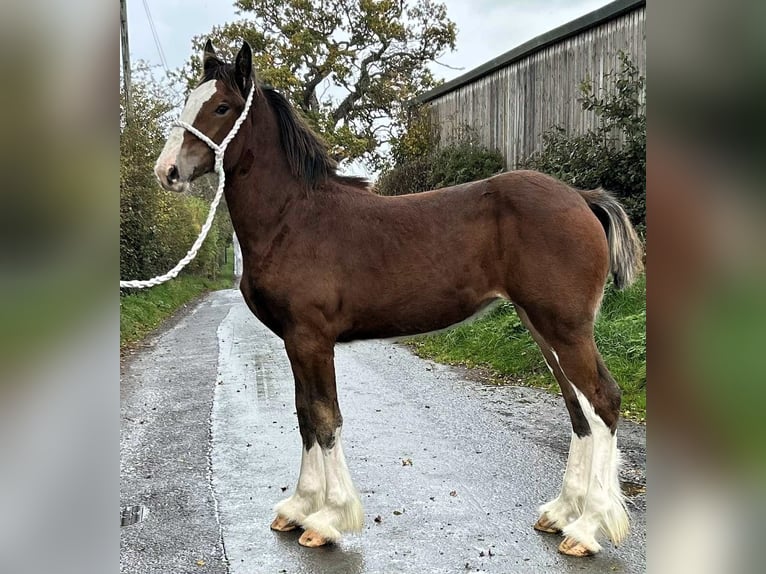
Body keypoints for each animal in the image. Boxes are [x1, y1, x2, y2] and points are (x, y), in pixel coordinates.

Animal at [154, 40, 644, 557]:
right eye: (190, 100)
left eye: (221, 107)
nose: (167, 171)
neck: (293, 218)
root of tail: (581, 197)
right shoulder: (294, 341)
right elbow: (305, 415)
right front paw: (298, 508)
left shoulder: (311, 339)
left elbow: (324, 418)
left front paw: (326, 519)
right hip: (543, 326)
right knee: (579, 410)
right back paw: (562, 514)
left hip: (565, 328)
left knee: (603, 401)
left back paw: (587, 529)